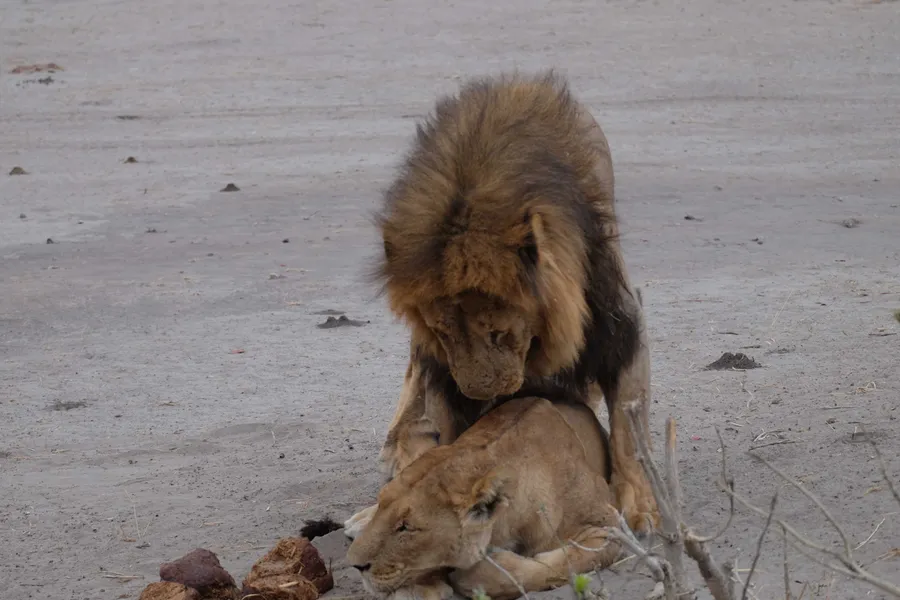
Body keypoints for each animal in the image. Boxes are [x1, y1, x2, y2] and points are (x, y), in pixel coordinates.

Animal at [346, 70, 657, 537]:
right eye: (443, 332)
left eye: (499, 332)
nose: (483, 396)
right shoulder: (444, 370)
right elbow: (448, 430)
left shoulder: (620, 325)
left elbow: (626, 428)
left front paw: (639, 507)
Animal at [346, 396, 622, 600]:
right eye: (382, 503)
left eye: (406, 528)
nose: (354, 565)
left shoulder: (609, 525)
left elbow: (565, 563)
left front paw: (473, 576)